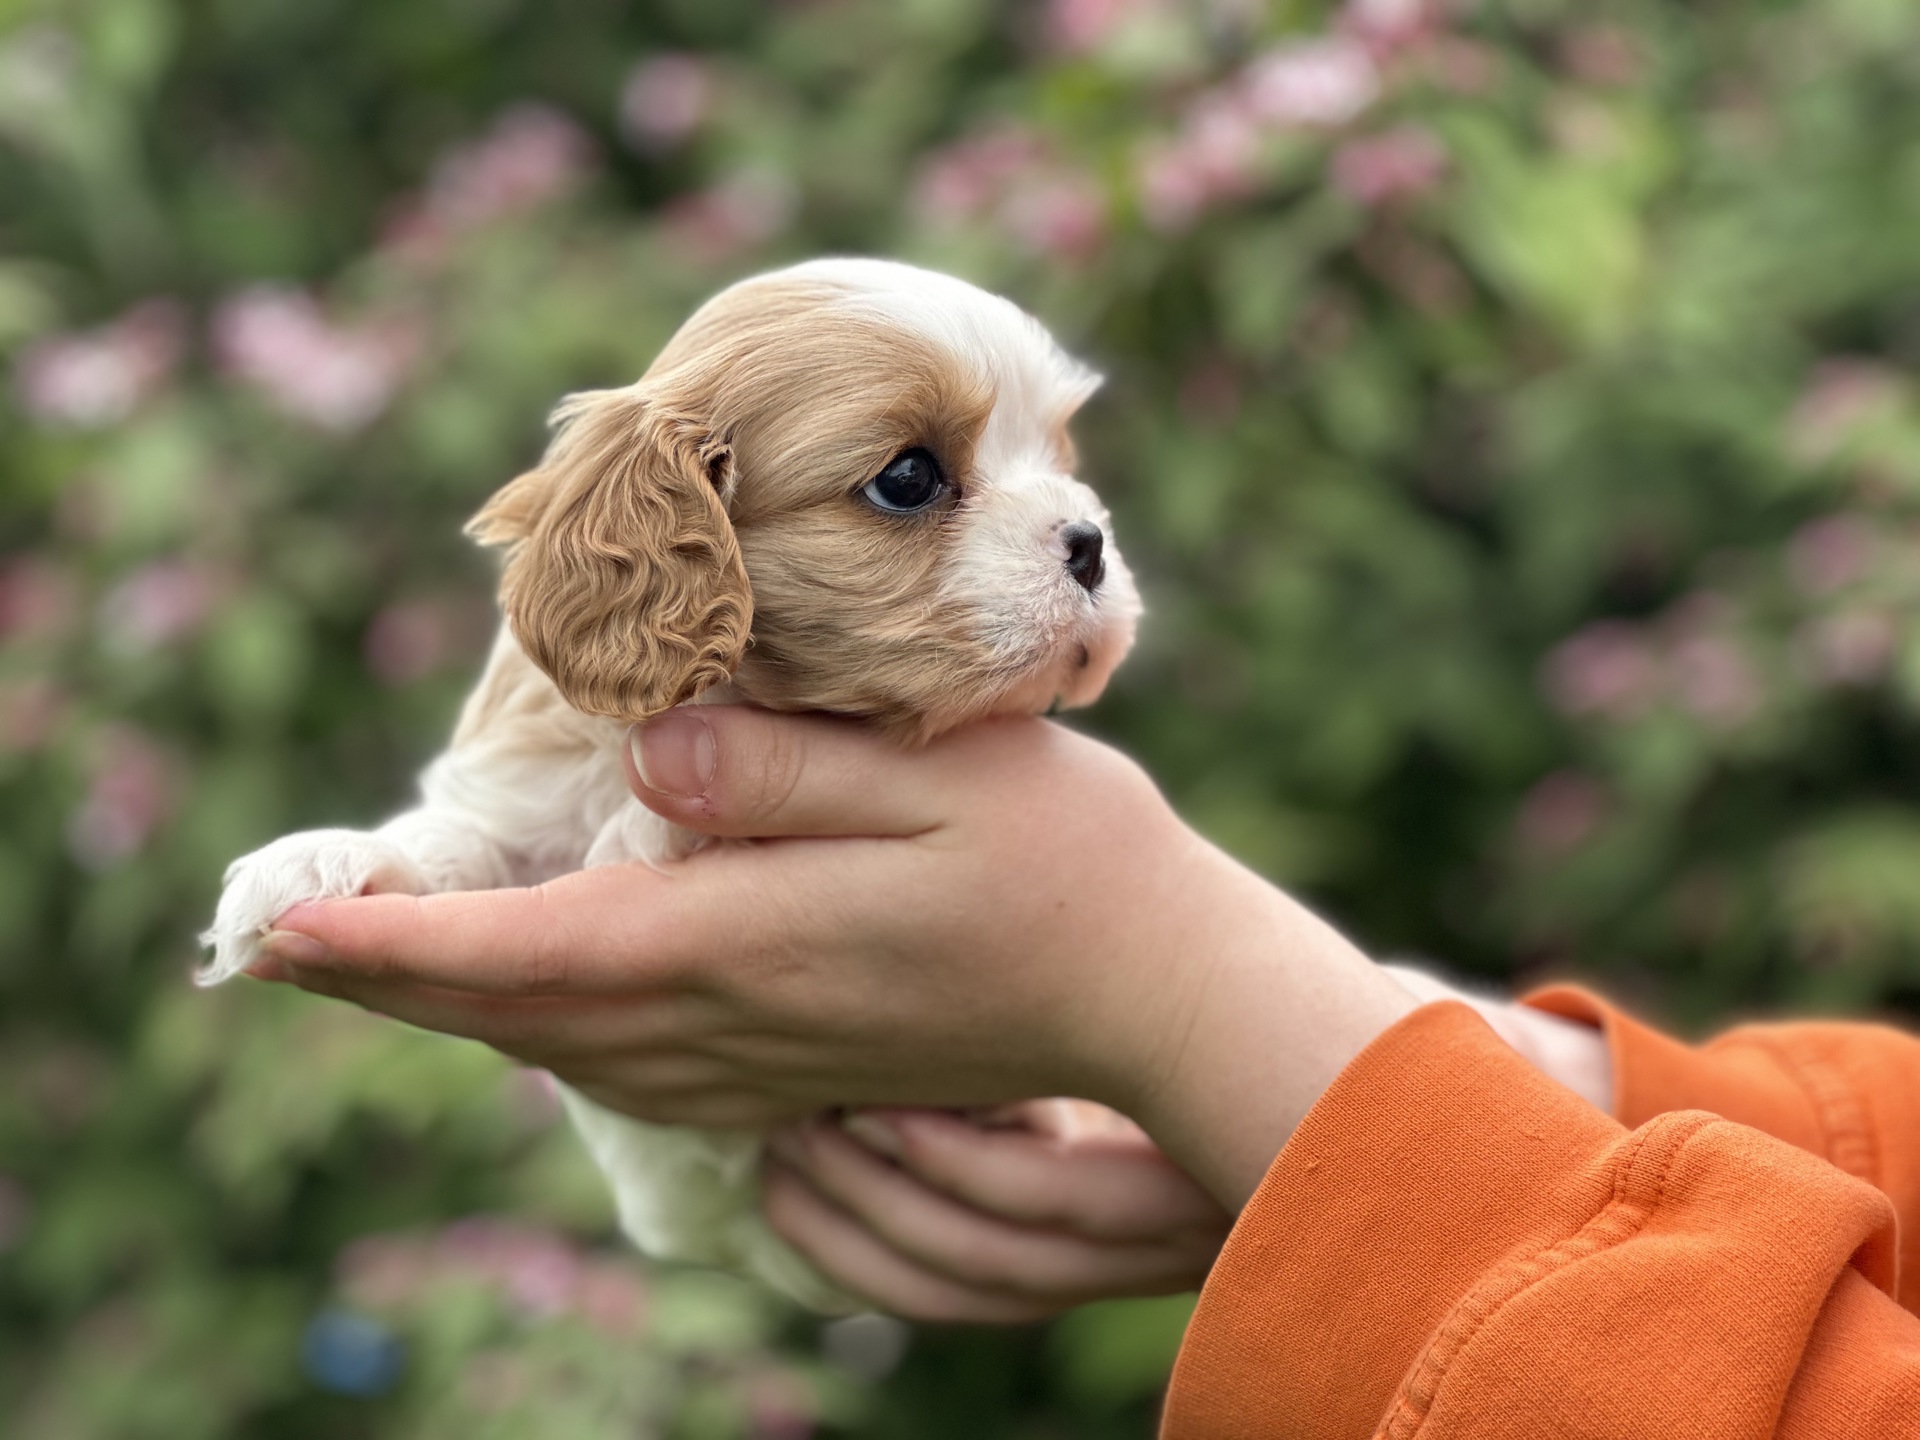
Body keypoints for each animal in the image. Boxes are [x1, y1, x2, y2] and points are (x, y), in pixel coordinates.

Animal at [198, 257, 1136, 1305]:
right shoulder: (526, 795)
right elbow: (452, 840)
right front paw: (317, 859)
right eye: (908, 479)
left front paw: (643, 830)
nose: (1090, 541)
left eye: (1056, 451)